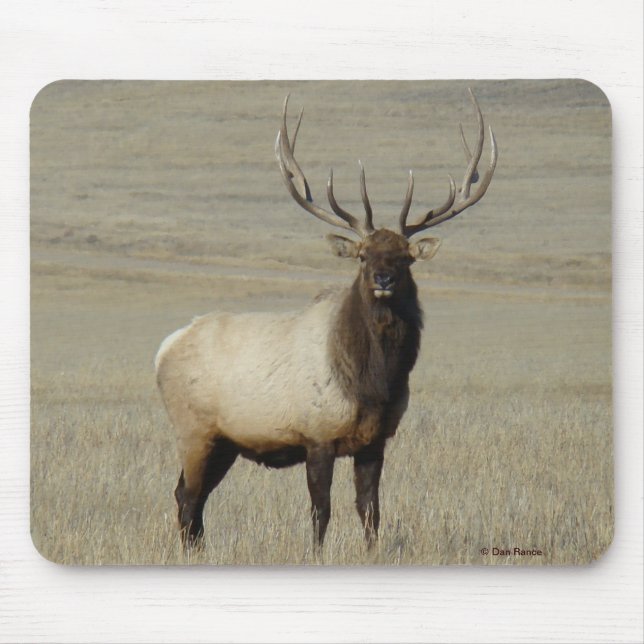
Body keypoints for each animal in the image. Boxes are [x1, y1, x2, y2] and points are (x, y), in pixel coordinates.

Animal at [155, 89, 497, 550]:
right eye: (363, 255)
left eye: (405, 257)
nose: (384, 279)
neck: (374, 383)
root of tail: (164, 349)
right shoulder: (316, 435)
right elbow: (321, 513)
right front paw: (316, 554)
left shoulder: (375, 441)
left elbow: (370, 511)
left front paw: (371, 553)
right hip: (192, 429)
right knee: (187, 497)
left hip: (224, 442)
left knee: (191, 498)